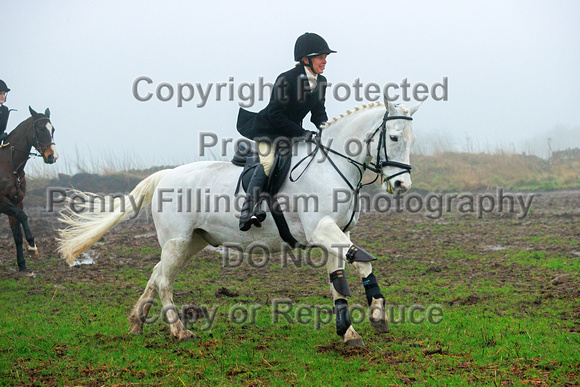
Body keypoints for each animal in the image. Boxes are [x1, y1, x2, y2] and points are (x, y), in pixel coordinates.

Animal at [0, 107, 58, 274]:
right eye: (39, 129)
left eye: (52, 129)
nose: (52, 156)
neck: (11, 167)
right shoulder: (2, 202)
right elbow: (23, 216)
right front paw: (32, 246)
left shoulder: (16, 201)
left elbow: (17, 234)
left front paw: (22, 265)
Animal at [59, 100, 420, 348]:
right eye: (393, 137)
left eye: (411, 139)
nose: (402, 186)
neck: (331, 164)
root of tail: (167, 175)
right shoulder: (322, 229)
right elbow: (363, 261)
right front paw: (377, 314)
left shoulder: (338, 233)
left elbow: (339, 280)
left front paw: (349, 332)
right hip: (177, 241)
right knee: (164, 281)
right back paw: (179, 331)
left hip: (192, 241)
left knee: (156, 273)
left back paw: (137, 321)